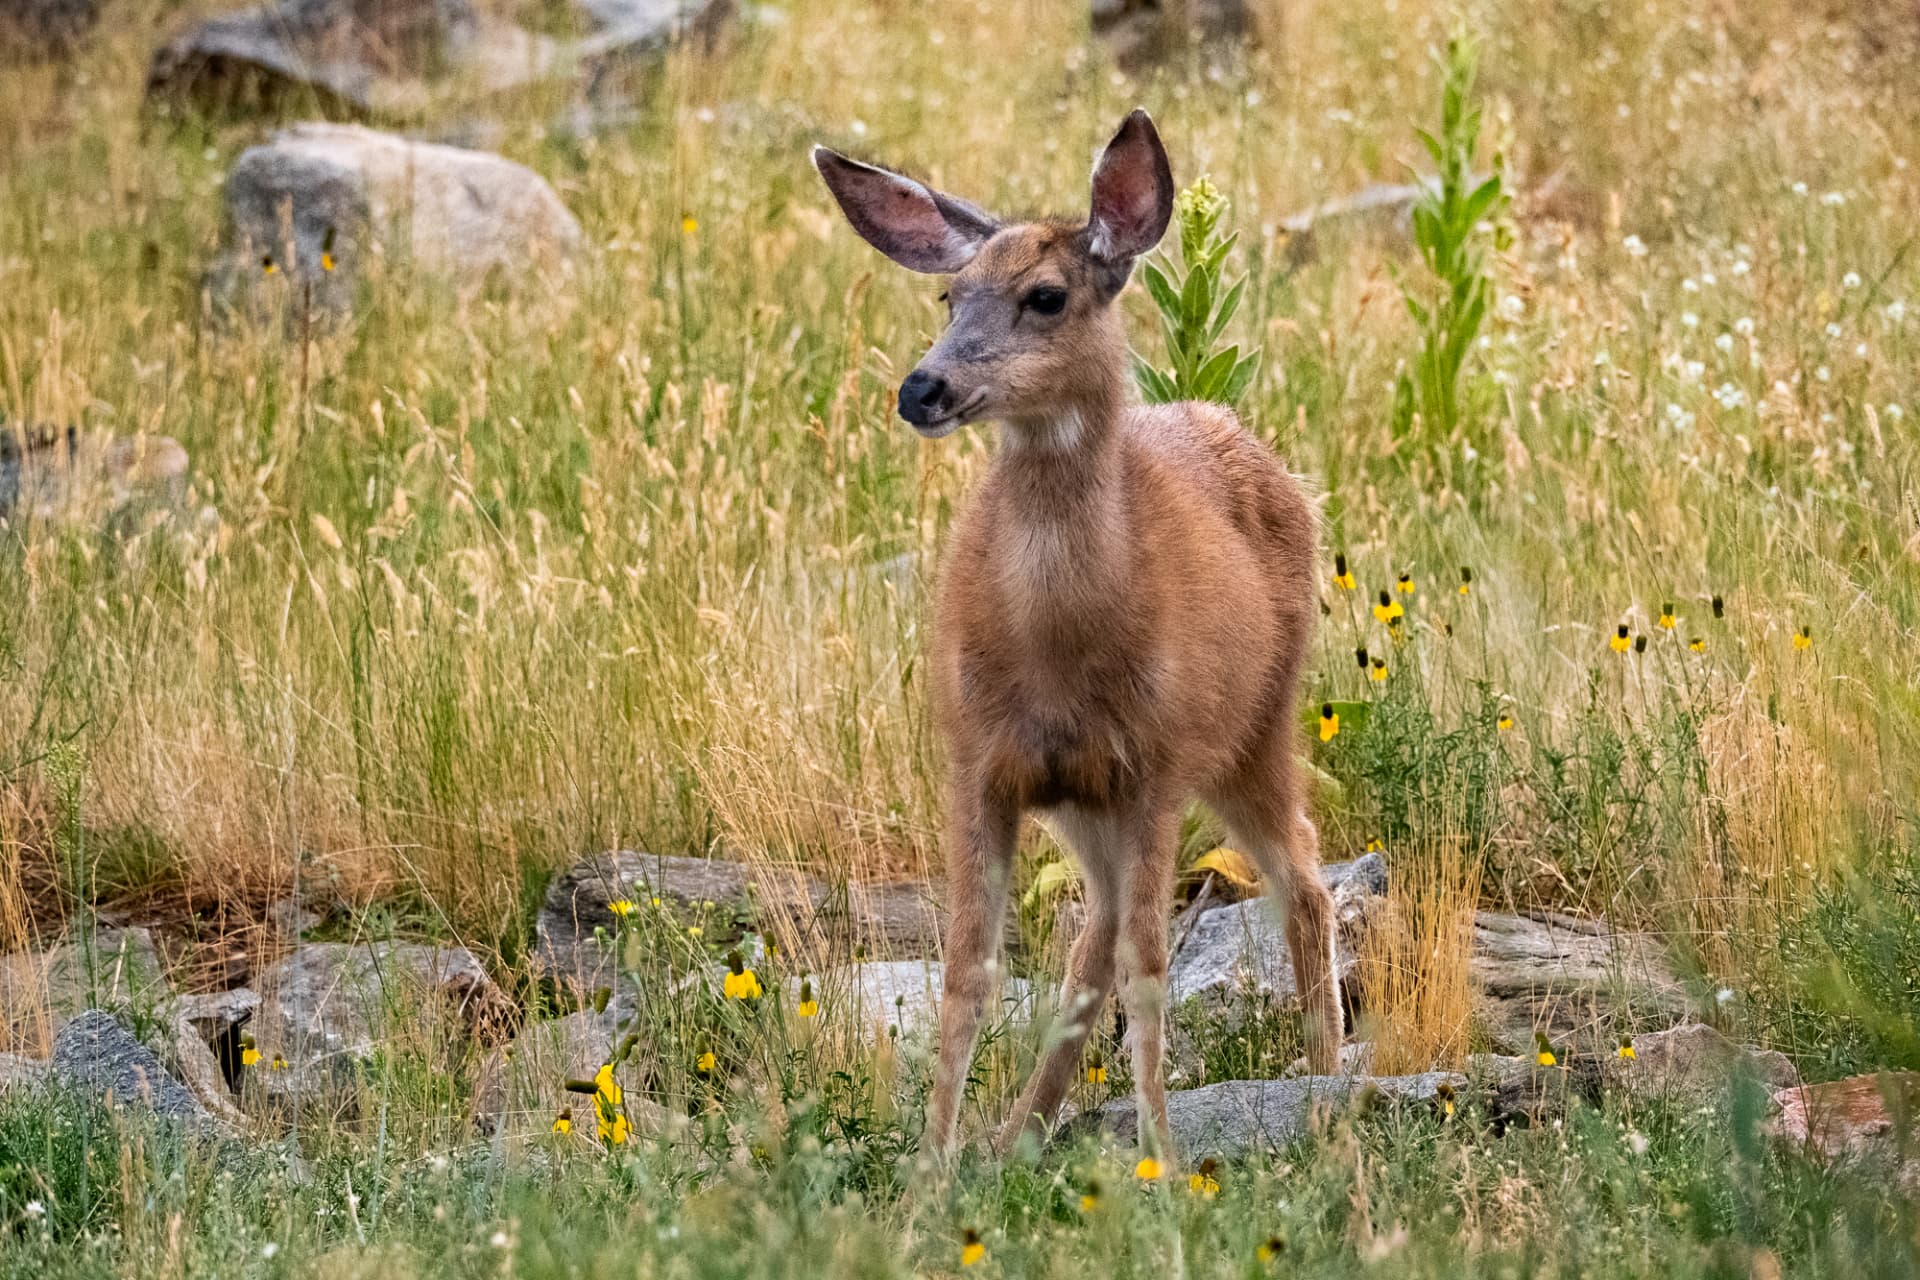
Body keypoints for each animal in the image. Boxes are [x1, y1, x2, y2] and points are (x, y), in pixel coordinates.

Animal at [812, 109, 1341, 1161]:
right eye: (949, 295)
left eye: (1046, 297)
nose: (921, 389)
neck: (1055, 653)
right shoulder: (977, 760)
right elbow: (967, 973)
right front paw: (932, 1165)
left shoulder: (1157, 766)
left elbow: (1151, 971)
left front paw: (1164, 1161)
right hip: (1088, 800)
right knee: (1095, 931)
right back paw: (1017, 1131)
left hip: (1255, 725)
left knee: (1302, 880)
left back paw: (1335, 1088)